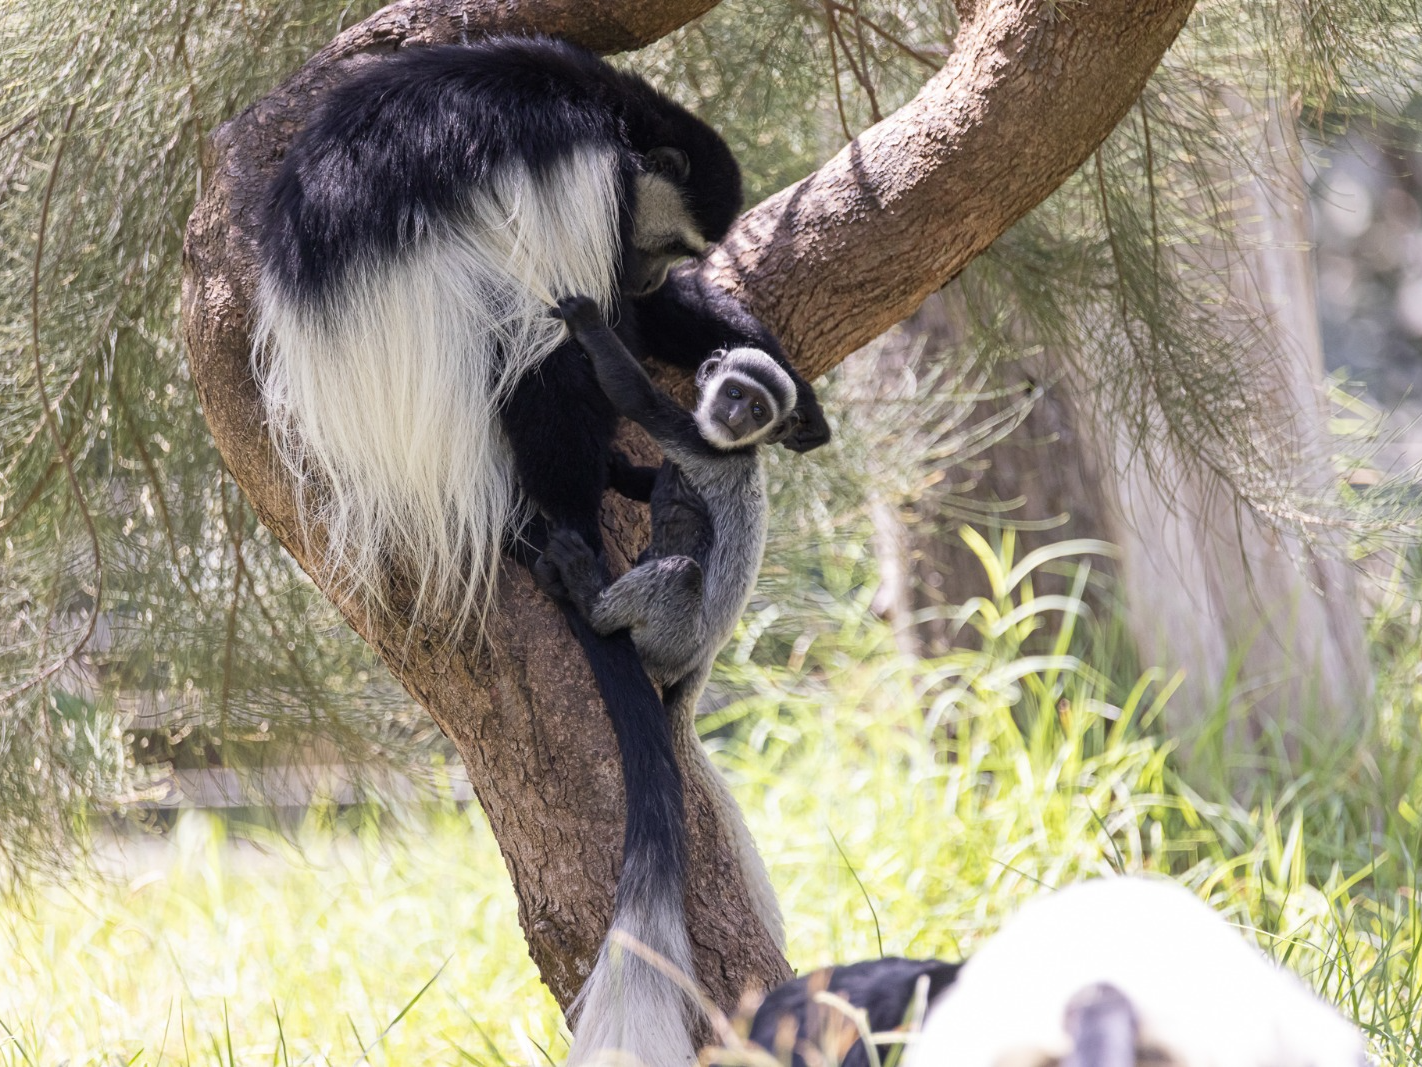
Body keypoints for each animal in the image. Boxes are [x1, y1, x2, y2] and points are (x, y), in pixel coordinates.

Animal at [252, 36, 829, 1067]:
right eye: (669, 246)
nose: (650, 277)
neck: (608, 110)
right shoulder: (585, 191)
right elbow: (603, 331)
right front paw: (651, 328)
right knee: (532, 348)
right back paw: (578, 535)